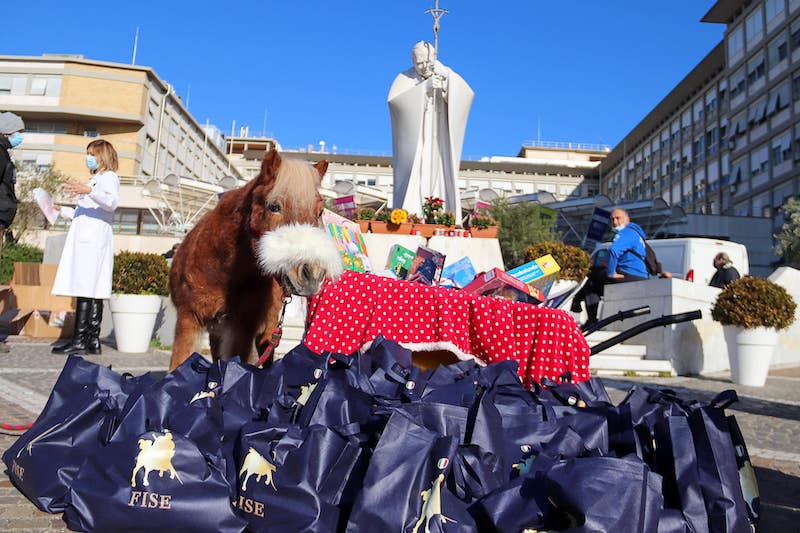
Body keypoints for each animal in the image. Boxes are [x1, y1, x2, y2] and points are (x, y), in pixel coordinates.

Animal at [167, 148, 342, 368]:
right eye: (274, 206)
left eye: (320, 212)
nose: (312, 274)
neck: (221, 274)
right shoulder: (188, 321)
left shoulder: (241, 329)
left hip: (267, 330)